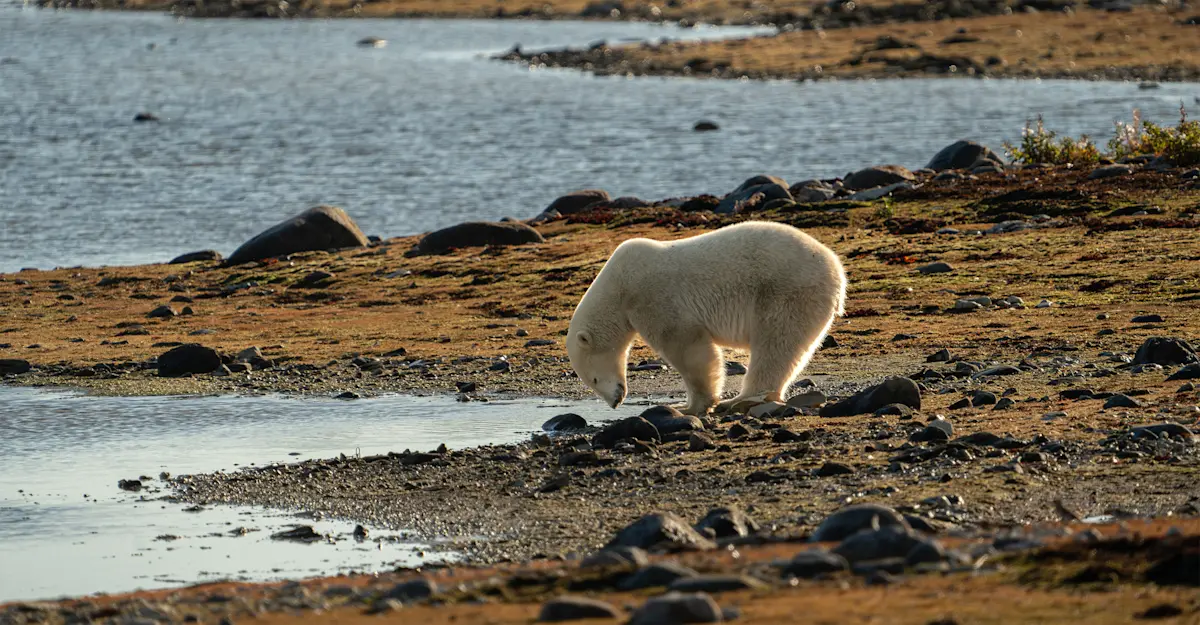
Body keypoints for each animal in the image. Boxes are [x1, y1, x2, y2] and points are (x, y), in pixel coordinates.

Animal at [566, 220, 847, 415]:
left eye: (592, 379)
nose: (615, 401)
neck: (618, 287)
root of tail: (837, 271)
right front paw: (686, 402)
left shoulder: (652, 296)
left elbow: (687, 347)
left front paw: (692, 406)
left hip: (785, 293)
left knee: (775, 345)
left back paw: (740, 400)